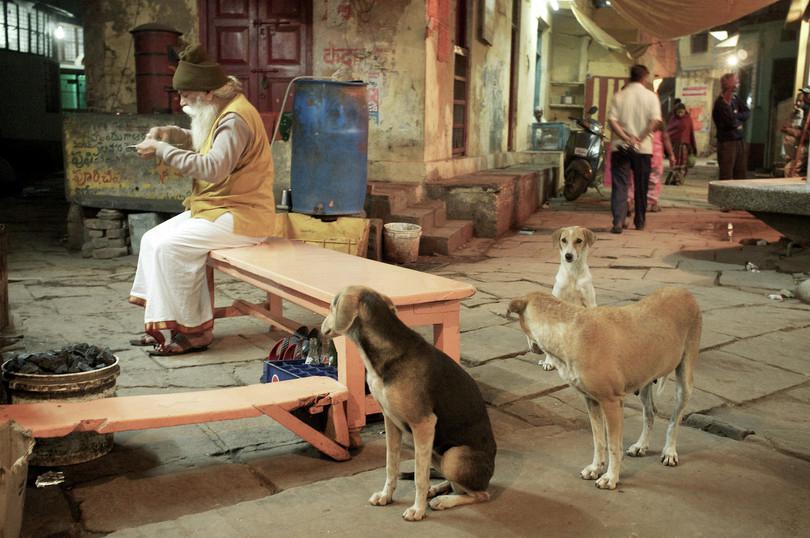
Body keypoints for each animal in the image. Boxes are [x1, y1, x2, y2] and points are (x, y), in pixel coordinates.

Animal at [320, 284, 496, 520]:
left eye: (332, 305)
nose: (322, 326)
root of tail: (490, 472)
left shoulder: (423, 424)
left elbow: (419, 477)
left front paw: (417, 510)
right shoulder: (390, 420)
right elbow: (391, 465)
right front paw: (386, 496)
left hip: (453, 456)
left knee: (480, 494)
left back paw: (444, 500)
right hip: (436, 454)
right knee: (453, 484)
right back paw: (437, 490)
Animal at [508, 286, 696, 488]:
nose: (532, 349)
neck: (568, 332)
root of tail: (684, 290)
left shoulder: (611, 403)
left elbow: (613, 446)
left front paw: (610, 477)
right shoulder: (591, 401)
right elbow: (598, 440)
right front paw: (595, 468)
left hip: (684, 382)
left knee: (675, 419)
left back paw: (669, 451)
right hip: (645, 380)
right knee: (650, 413)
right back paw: (641, 445)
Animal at [540, 225, 596, 368]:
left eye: (579, 240)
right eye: (564, 240)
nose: (568, 256)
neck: (573, 273)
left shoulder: (590, 304)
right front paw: (548, 362)